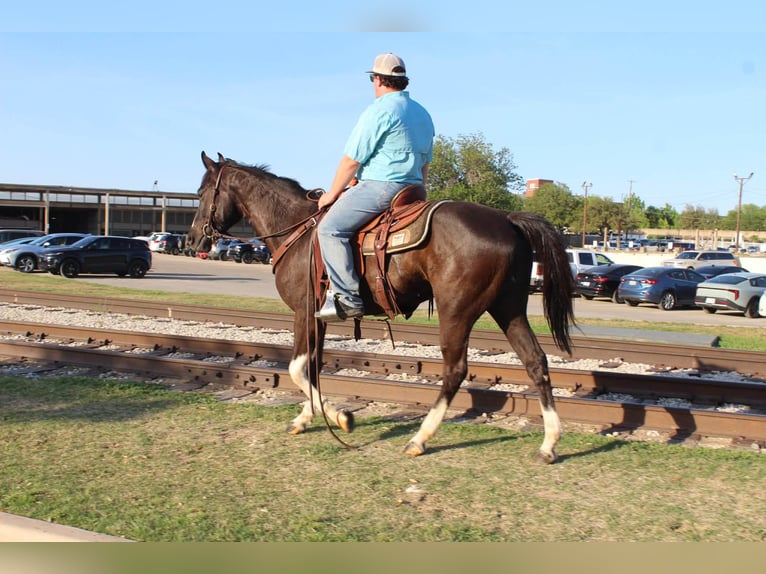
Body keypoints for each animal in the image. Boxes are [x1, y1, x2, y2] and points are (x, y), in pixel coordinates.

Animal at [186, 151, 576, 463]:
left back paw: (420, 438)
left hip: (457, 311)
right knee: (536, 361)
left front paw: (339, 417)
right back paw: (549, 443)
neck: (296, 230)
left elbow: (297, 368)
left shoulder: (303, 311)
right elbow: (312, 367)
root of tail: (506, 219)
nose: (192, 240)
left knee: (455, 370)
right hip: (508, 309)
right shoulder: (319, 318)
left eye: (201, 193)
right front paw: (308, 417)